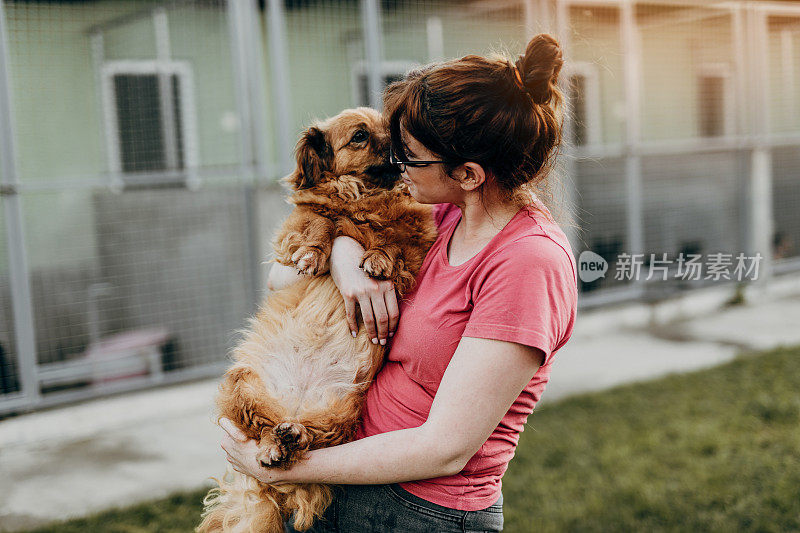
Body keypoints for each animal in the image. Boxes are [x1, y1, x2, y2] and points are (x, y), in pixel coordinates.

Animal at [198, 108, 438, 532]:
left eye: (386, 125)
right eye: (360, 136)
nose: (397, 143)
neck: (367, 195)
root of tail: (294, 407)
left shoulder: (416, 239)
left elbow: (392, 240)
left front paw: (377, 257)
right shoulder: (299, 223)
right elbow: (321, 221)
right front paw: (314, 252)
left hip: (342, 414)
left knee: (310, 437)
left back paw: (291, 436)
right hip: (242, 384)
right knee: (263, 429)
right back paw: (276, 444)